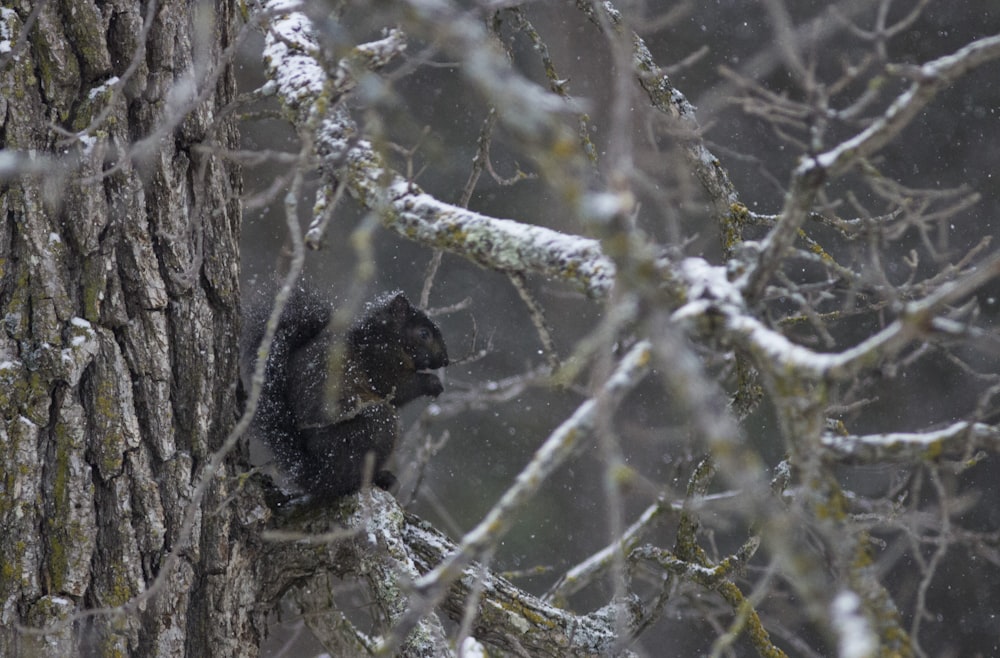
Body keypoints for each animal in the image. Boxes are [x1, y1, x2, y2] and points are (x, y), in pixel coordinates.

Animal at [240, 288, 448, 498]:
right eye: (424, 333)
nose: (446, 360)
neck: (384, 337)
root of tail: (318, 472)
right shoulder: (379, 363)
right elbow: (399, 388)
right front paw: (433, 383)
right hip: (376, 425)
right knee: (347, 480)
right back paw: (379, 478)